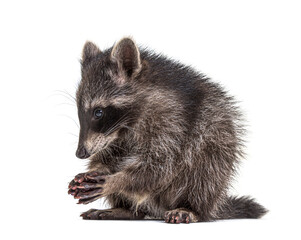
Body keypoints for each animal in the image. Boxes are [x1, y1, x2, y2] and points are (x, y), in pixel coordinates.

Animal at [67, 37, 264, 223]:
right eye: (79, 111)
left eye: (98, 112)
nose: (80, 153)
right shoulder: (112, 136)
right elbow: (109, 155)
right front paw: (98, 169)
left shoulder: (172, 122)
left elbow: (159, 167)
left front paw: (117, 181)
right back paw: (125, 209)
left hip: (218, 144)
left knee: (204, 172)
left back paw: (192, 208)